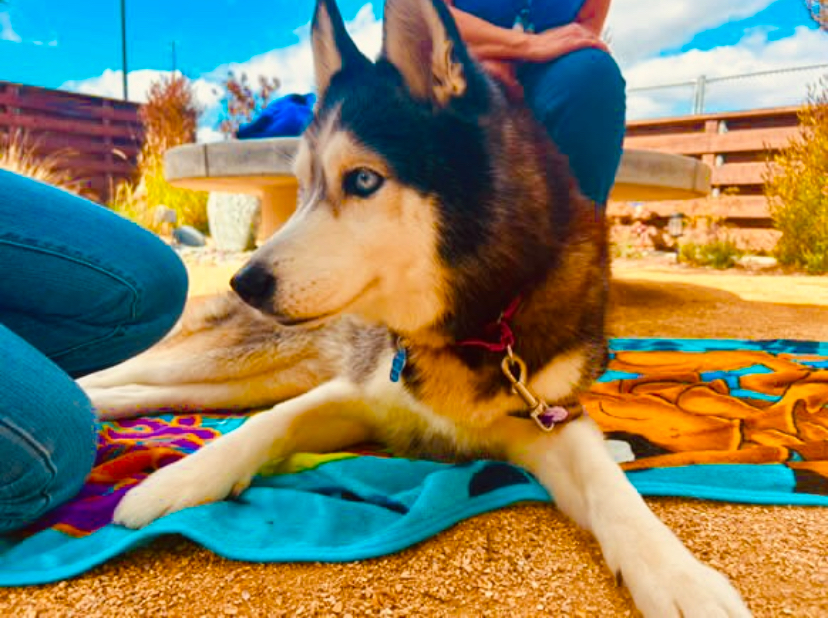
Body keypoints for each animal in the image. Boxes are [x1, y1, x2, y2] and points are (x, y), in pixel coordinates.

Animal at [81, 2, 752, 612]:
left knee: (152, 391)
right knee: (138, 373)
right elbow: (266, 426)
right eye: (303, 187)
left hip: (249, 374)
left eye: (363, 180)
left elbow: (614, 491)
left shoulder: (550, 417)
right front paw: (175, 482)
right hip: (249, 356)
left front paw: (680, 578)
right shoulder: (353, 393)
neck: (474, 322)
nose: (246, 280)